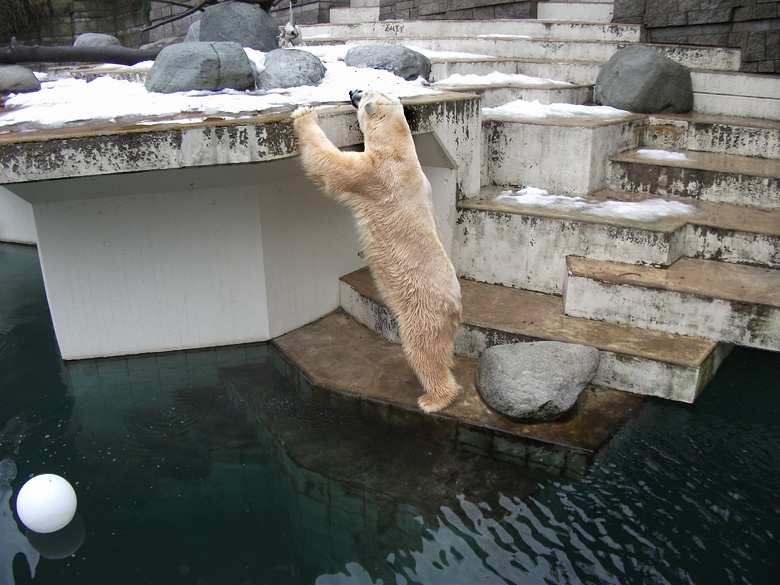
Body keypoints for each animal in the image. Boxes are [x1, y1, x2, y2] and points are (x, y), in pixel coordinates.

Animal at [292, 89, 464, 412]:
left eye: (363, 92)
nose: (351, 92)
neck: (399, 149)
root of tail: (456, 307)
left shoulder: (374, 174)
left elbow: (331, 165)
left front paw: (304, 114)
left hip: (422, 310)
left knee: (423, 350)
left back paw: (434, 399)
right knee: (442, 350)